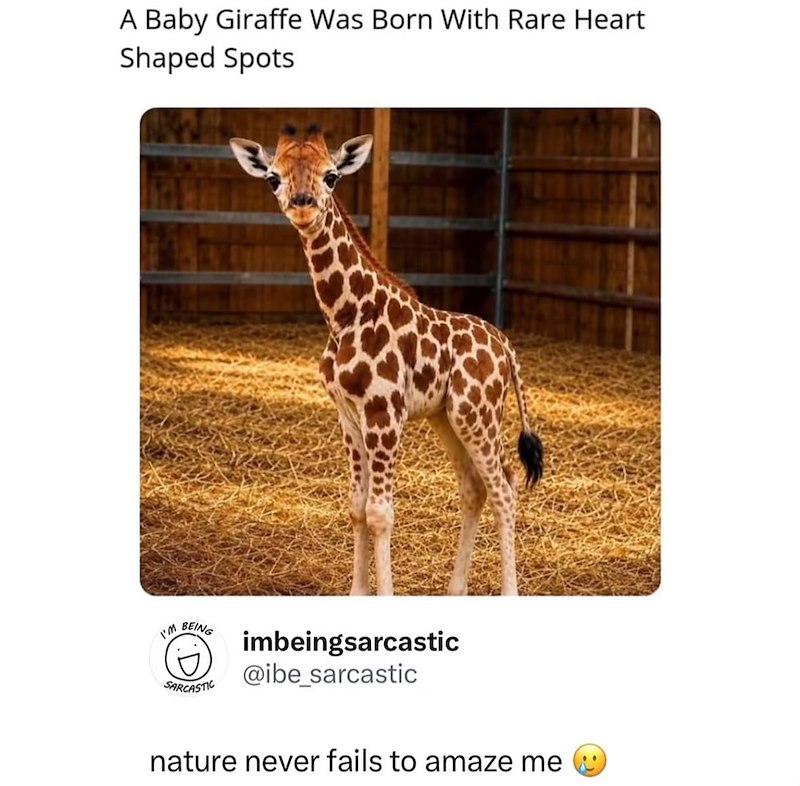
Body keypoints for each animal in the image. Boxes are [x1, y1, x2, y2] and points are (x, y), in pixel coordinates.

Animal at [230, 124, 543, 596]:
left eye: (331, 176)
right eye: (272, 177)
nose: (303, 206)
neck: (346, 315)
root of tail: (506, 346)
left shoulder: (384, 411)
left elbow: (380, 513)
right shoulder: (347, 414)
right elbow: (356, 506)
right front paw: (358, 592)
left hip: (478, 415)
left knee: (504, 488)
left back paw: (508, 592)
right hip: (448, 418)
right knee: (474, 490)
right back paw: (455, 590)